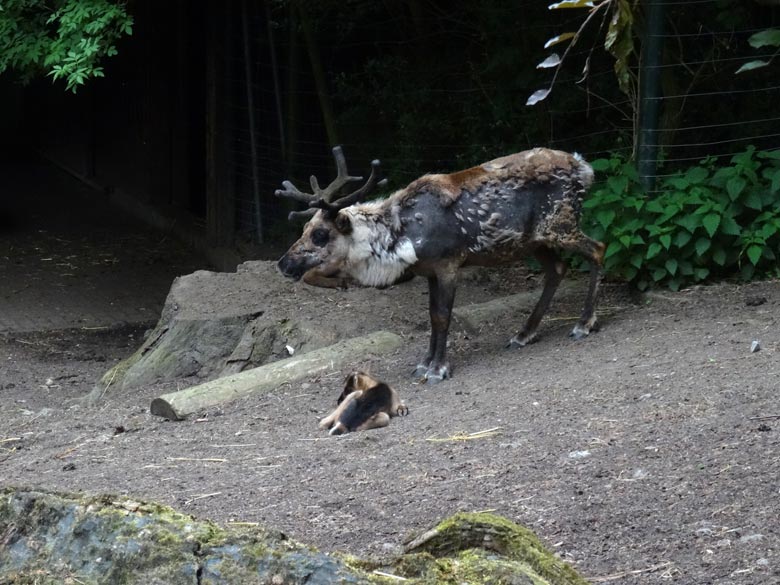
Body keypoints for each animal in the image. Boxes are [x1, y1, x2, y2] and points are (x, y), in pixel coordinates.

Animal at [278, 146, 608, 384]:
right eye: (304, 227)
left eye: (320, 234)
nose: (283, 263)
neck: (400, 235)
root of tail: (586, 168)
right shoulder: (429, 271)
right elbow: (431, 316)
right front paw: (424, 363)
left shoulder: (449, 264)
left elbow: (442, 317)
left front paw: (438, 368)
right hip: (534, 241)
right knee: (558, 269)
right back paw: (523, 334)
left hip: (561, 225)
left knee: (598, 249)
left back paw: (583, 324)